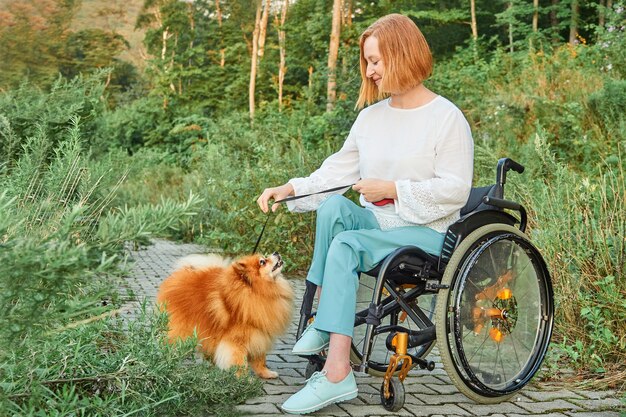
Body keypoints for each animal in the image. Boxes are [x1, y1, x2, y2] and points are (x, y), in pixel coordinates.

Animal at [156, 250, 292, 376]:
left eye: (264, 257)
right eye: (262, 262)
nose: (276, 252)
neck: (257, 292)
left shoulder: (259, 335)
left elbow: (260, 359)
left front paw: (266, 373)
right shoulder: (237, 340)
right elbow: (239, 360)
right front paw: (243, 379)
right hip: (181, 326)